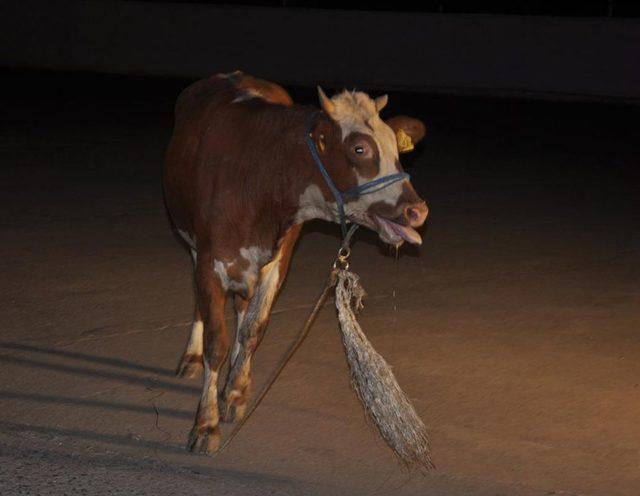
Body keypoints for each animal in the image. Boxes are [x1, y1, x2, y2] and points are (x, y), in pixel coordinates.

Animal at [162, 70, 428, 454]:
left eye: (396, 144)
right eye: (359, 149)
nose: (417, 210)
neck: (258, 175)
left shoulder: (278, 261)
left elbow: (253, 329)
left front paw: (236, 392)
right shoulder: (210, 261)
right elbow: (217, 342)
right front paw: (206, 423)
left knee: (243, 312)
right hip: (191, 239)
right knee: (200, 300)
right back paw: (191, 359)